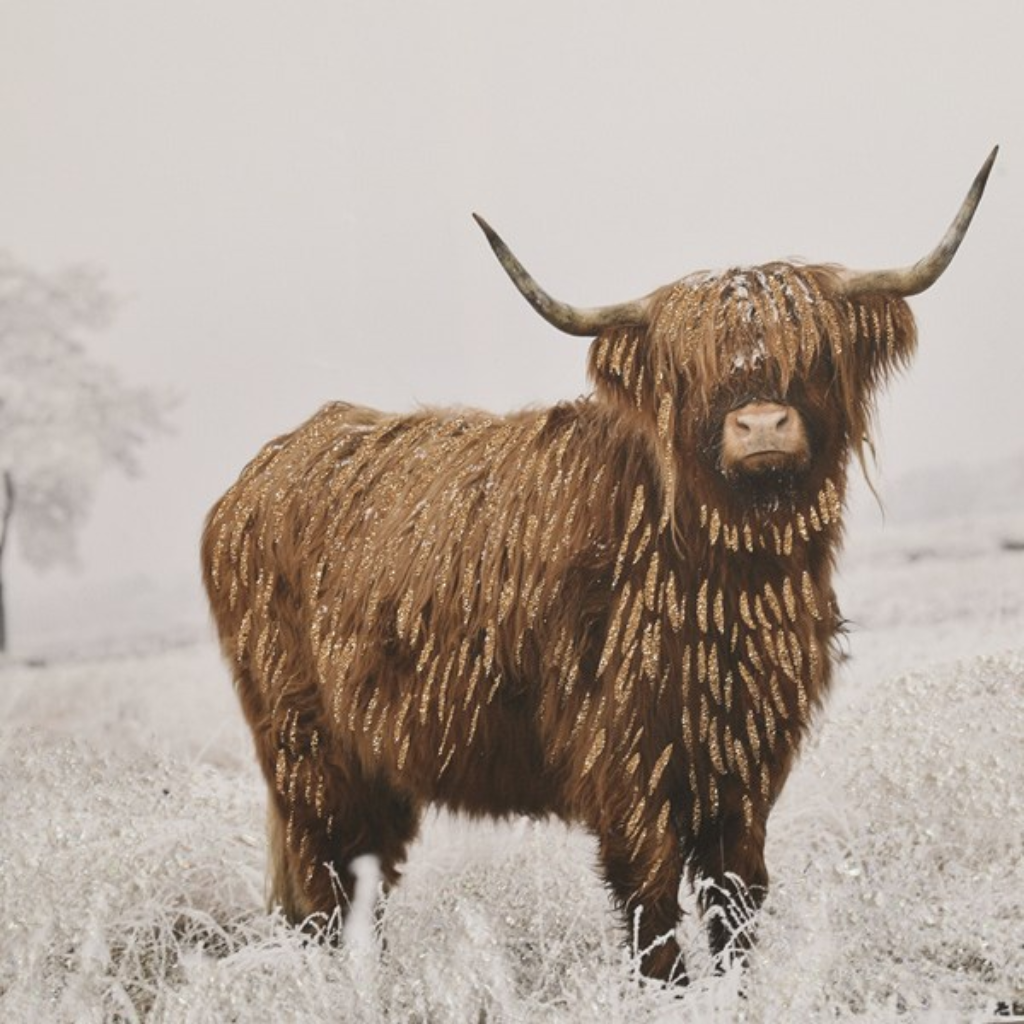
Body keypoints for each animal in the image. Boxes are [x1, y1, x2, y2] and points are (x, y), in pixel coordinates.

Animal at [201, 149, 996, 984]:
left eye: (813, 353)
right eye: (689, 370)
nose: (760, 426)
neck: (723, 575)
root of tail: (261, 471)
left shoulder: (746, 757)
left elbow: (737, 896)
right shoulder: (625, 758)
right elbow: (651, 903)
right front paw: (669, 991)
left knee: (361, 880)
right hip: (307, 753)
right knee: (323, 887)